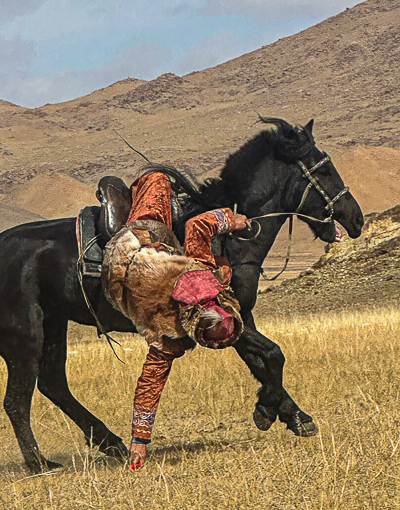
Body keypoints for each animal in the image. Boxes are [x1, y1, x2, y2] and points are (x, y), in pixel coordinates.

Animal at [0, 117, 362, 472]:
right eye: (323, 170)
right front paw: (266, 411)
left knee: (52, 383)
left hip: (54, 324)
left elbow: (262, 361)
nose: (356, 219)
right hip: (25, 336)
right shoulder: (218, 319)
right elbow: (273, 354)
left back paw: (109, 442)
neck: (225, 240)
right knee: (17, 399)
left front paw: (294, 416)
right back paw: (40, 463)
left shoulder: (241, 317)